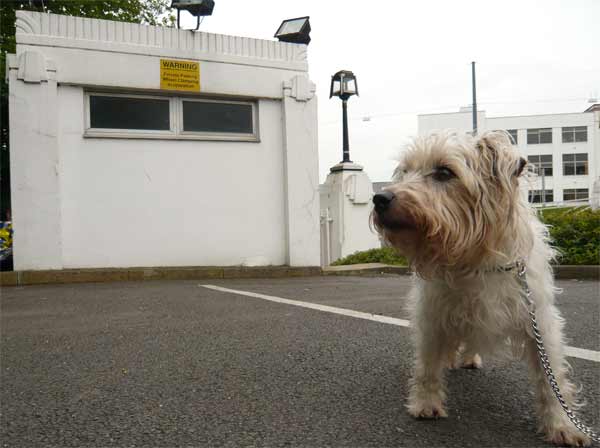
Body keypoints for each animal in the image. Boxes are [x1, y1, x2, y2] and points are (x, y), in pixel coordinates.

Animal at [372, 131, 588, 446]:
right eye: (406, 171)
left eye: (444, 172)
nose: (379, 198)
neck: (474, 259)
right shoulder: (432, 315)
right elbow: (427, 364)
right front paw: (425, 402)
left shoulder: (538, 319)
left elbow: (551, 379)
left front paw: (562, 424)